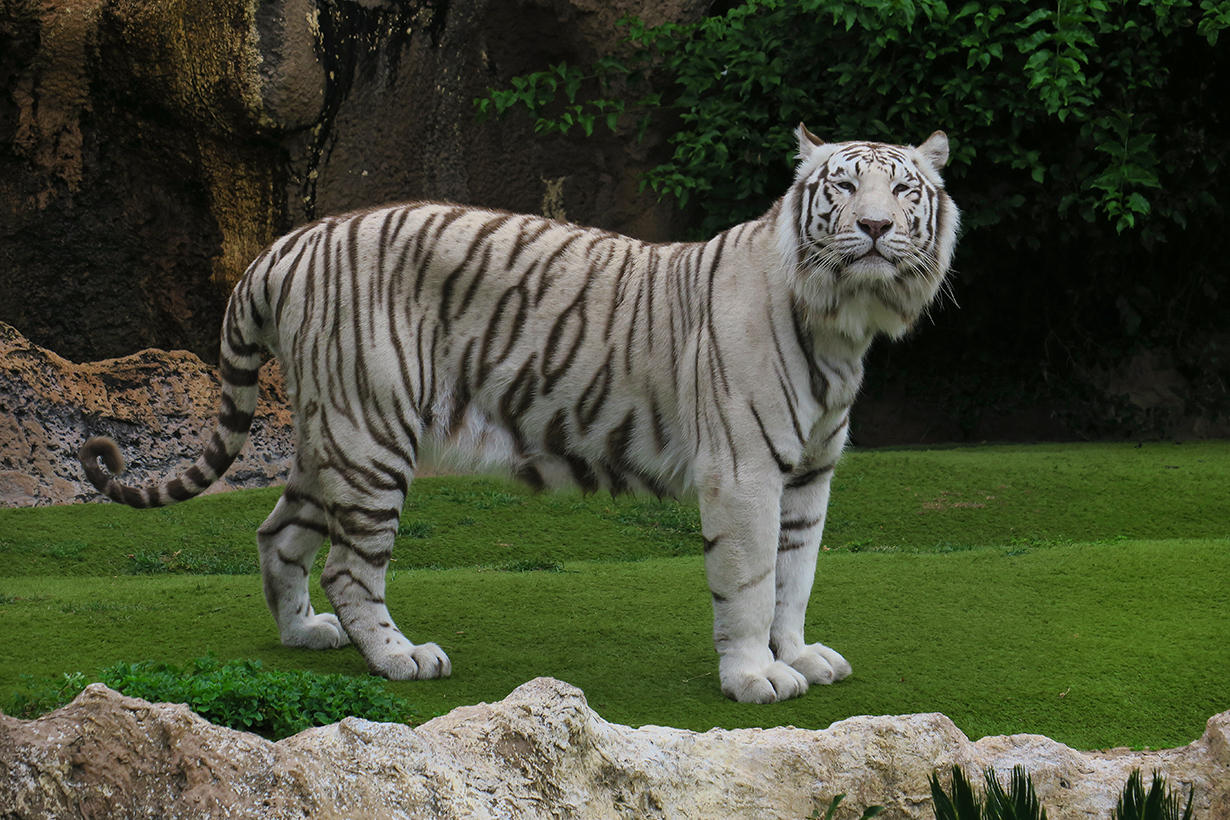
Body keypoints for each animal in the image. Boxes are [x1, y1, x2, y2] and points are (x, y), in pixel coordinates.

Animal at [79, 126, 959, 708]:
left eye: (903, 189)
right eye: (843, 187)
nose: (875, 228)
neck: (844, 322)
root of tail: (288, 243)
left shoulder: (809, 474)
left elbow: (794, 578)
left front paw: (799, 656)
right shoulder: (744, 473)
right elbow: (749, 581)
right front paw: (753, 677)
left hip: (331, 436)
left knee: (277, 533)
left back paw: (305, 634)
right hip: (373, 435)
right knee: (348, 567)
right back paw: (400, 658)